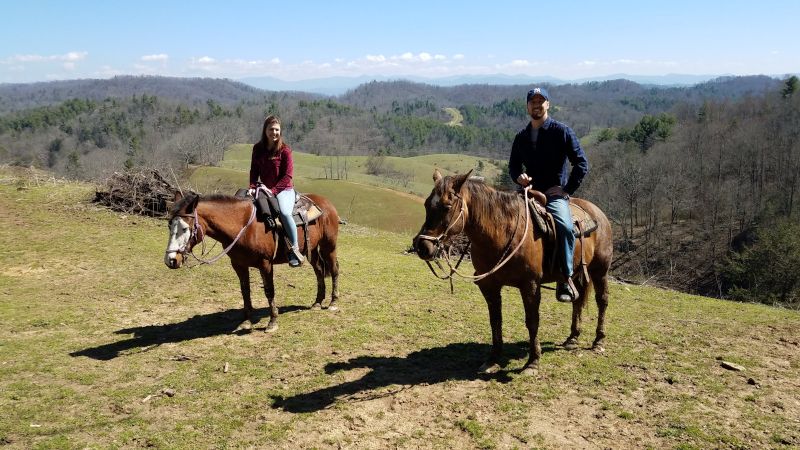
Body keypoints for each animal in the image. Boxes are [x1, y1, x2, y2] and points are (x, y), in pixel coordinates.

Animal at [164, 191, 340, 332]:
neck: (243, 227)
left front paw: (272, 321)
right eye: (169, 226)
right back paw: (317, 302)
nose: (170, 260)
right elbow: (245, 291)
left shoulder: (265, 264)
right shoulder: (239, 265)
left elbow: (269, 291)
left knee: (334, 269)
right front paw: (246, 321)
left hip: (329, 246)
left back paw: (333, 302)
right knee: (319, 270)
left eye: (185, 228)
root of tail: (326, 203)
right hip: (312, 250)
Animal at [413, 170, 613, 375]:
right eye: (427, 204)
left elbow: (532, 321)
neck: (501, 232)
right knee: (578, 300)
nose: (422, 246)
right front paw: (492, 359)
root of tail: (597, 213)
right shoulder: (489, 285)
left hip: (600, 270)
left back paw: (598, 341)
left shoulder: (530, 285)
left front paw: (533, 362)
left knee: (602, 300)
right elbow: (495, 320)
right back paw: (573, 338)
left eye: (447, 206)